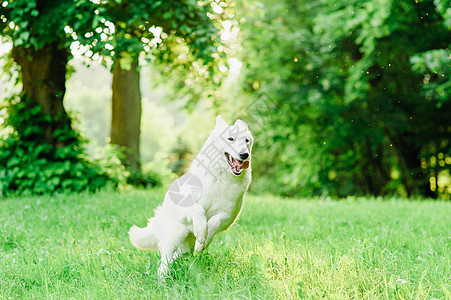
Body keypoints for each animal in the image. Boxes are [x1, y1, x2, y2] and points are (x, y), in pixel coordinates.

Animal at [129, 115, 252, 276]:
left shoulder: (228, 216)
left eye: (247, 141)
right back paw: (163, 277)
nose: (245, 155)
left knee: (175, 255)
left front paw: (204, 240)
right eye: (230, 138)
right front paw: (200, 231)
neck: (220, 178)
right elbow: (198, 210)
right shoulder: (187, 206)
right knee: (164, 258)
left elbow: (214, 221)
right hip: (176, 233)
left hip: (185, 247)